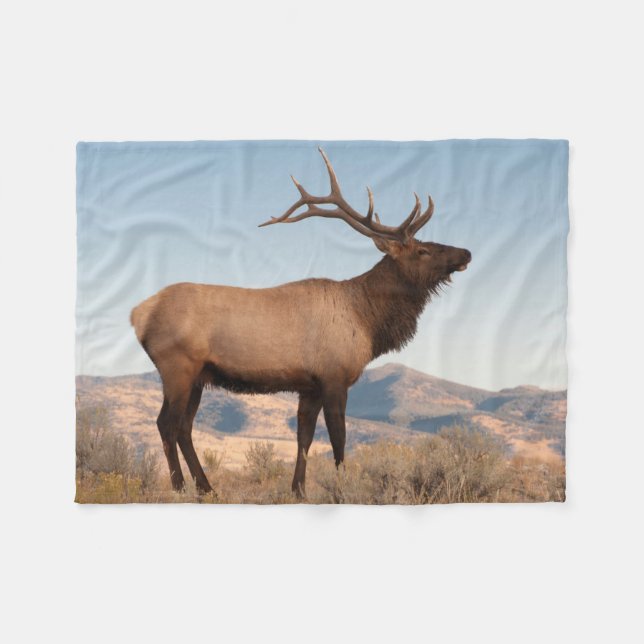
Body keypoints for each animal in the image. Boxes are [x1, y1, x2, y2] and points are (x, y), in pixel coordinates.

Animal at [130, 148, 471, 497]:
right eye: (423, 250)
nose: (466, 252)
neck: (367, 321)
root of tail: (138, 314)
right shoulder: (334, 376)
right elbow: (338, 437)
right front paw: (342, 488)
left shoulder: (310, 386)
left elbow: (304, 437)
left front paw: (299, 489)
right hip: (178, 368)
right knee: (166, 424)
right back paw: (180, 487)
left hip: (198, 376)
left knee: (184, 427)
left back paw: (206, 488)